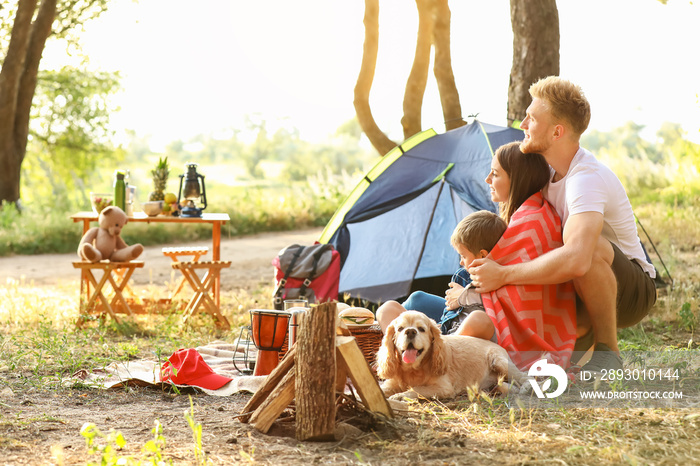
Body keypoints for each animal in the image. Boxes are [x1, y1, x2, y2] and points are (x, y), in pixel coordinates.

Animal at [374, 312, 528, 398]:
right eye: (400, 329)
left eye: (421, 329)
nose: (410, 331)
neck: (413, 369)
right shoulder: (391, 383)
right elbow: (380, 389)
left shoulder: (443, 388)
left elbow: (417, 389)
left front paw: (401, 396)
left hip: (499, 361)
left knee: (524, 376)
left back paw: (526, 387)